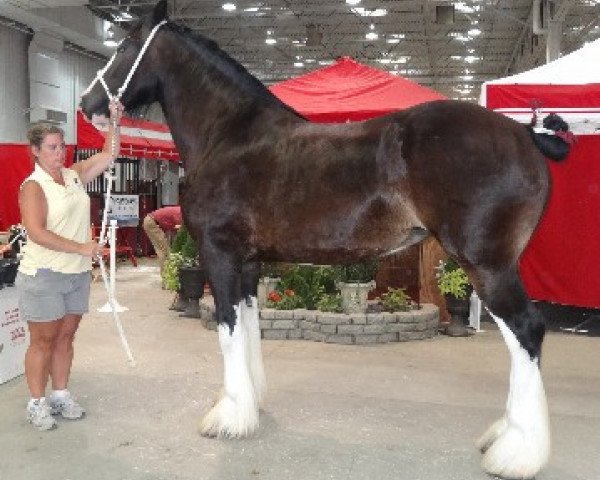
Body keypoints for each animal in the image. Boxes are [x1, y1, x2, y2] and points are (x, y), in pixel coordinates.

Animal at [79, 1, 572, 478]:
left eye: (124, 44)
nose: (86, 103)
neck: (231, 136)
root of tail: (524, 132)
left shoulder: (219, 255)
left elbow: (227, 328)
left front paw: (229, 417)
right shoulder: (249, 263)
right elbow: (250, 326)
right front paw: (251, 404)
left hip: (486, 265)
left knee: (526, 331)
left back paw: (516, 453)